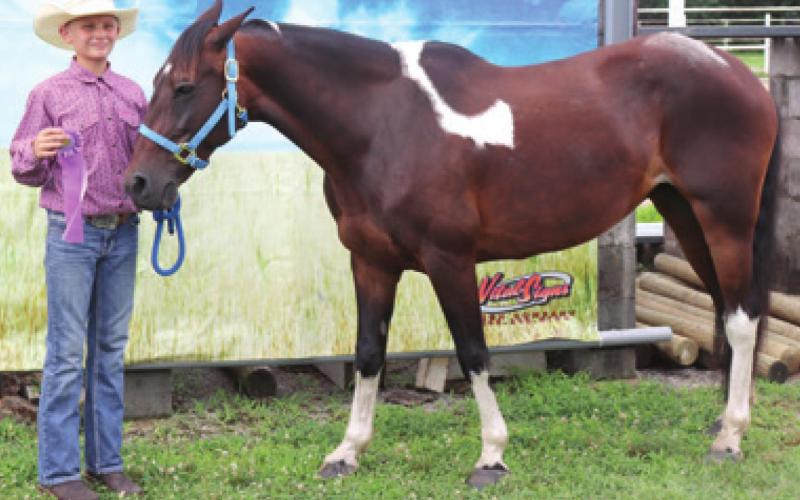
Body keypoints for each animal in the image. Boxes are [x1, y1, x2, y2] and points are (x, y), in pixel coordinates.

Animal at [125, 0, 780, 488]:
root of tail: (739, 73)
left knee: (742, 318)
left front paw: (491, 455)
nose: (138, 184)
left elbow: (473, 351)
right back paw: (726, 424)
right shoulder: (370, 262)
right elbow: (368, 352)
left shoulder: (450, 260)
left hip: (723, 218)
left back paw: (730, 437)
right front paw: (347, 451)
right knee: (726, 310)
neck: (381, 124)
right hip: (683, 213)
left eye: (184, 86)